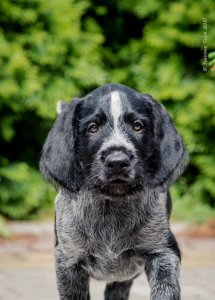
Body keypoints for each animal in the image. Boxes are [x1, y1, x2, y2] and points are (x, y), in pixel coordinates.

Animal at [40, 84, 188, 300]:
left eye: (137, 126)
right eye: (93, 128)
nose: (117, 161)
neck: (110, 208)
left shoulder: (163, 252)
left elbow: (165, 289)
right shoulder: (68, 263)